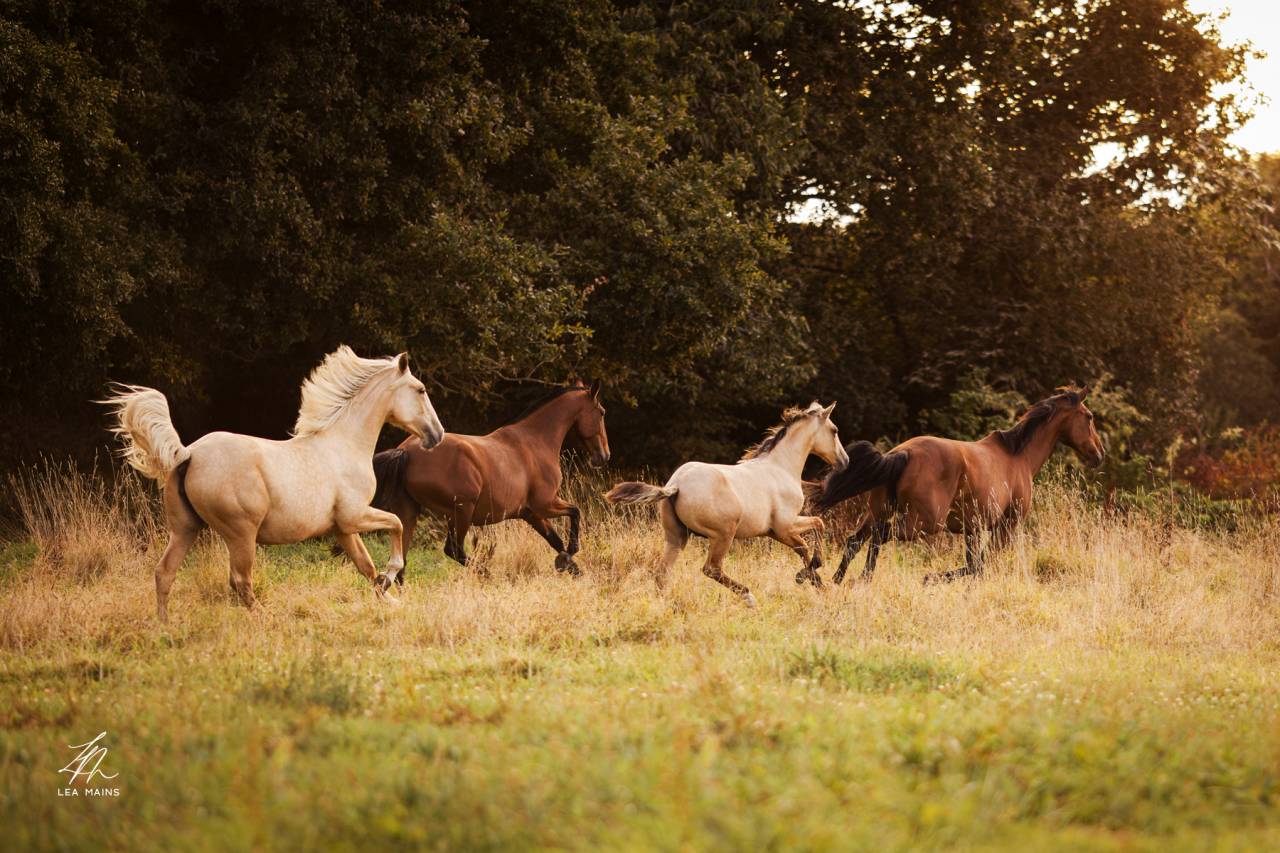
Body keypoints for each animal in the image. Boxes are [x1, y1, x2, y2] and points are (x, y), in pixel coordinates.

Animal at [102, 346, 445, 622]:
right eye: (420, 389)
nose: (437, 435)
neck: (343, 444)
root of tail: (188, 453)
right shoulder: (355, 516)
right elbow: (396, 524)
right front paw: (391, 576)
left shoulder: (342, 528)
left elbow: (366, 566)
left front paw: (388, 598)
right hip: (240, 534)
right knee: (240, 581)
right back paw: (267, 618)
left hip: (185, 529)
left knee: (165, 573)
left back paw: (165, 626)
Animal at [368, 380, 610, 578]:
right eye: (601, 412)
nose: (604, 456)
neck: (535, 443)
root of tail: (406, 451)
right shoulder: (545, 504)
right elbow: (575, 512)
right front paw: (570, 555)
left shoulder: (530, 513)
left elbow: (555, 540)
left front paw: (570, 566)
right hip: (461, 512)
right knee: (453, 550)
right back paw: (488, 574)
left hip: (409, 512)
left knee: (401, 561)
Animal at [605, 402, 849, 606]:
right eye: (835, 430)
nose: (845, 461)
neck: (781, 467)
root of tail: (676, 485)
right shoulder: (784, 526)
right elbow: (815, 530)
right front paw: (809, 575)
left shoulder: (775, 532)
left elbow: (804, 546)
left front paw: (817, 584)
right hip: (723, 534)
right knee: (711, 569)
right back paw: (749, 597)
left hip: (676, 537)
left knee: (662, 574)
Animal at [812, 385, 1104, 585]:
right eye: (1089, 417)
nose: (1099, 454)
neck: (1018, 456)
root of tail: (902, 453)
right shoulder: (1005, 528)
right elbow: (980, 567)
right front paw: (930, 578)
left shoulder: (972, 529)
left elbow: (975, 565)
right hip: (923, 523)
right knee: (879, 536)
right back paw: (862, 578)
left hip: (878, 510)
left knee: (855, 540)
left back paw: (833, 580)